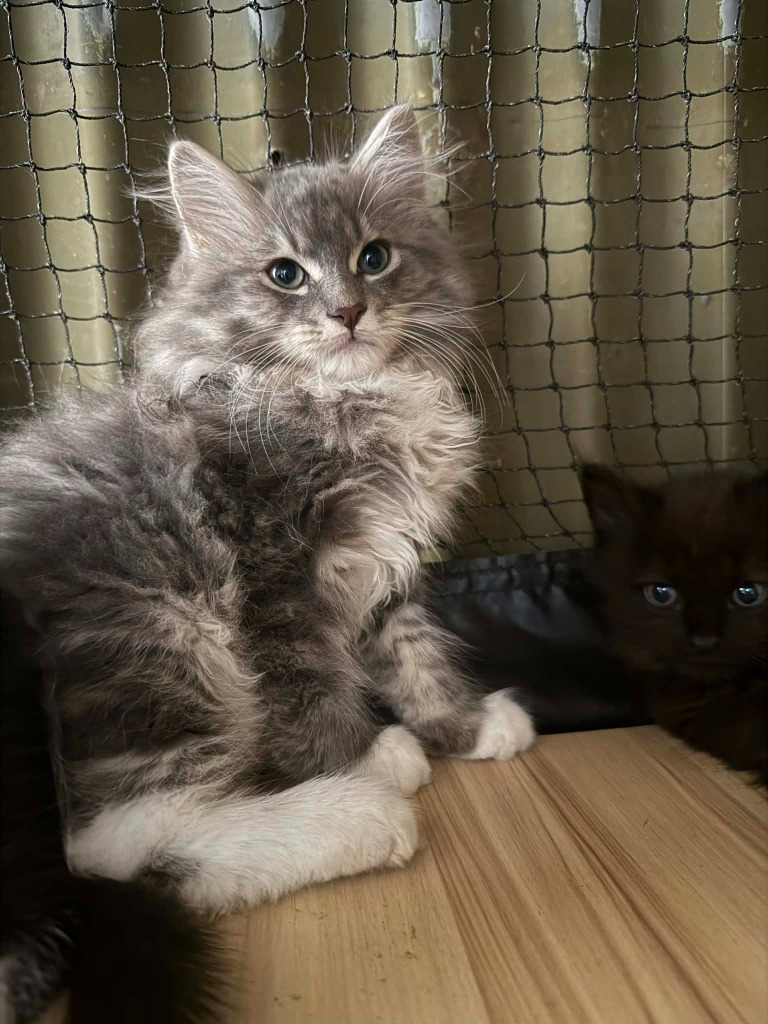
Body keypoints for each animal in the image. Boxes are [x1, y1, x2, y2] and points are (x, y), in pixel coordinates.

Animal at [0, 105, 535, 1021]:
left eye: (373, 257)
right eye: (285, 274)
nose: (349, 311)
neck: (340, 404)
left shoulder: (379, 563)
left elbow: (412, 654)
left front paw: (462, 727)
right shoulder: (270, 575)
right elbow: (308, 687)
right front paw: (370, 757)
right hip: (157, 633)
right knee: (117, 845)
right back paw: (358, 820)